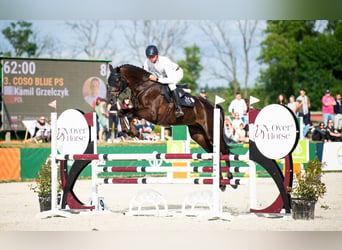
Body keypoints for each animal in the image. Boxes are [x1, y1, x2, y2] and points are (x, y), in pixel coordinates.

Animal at [107, 63, 235, 190]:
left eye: (117, 80)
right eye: (109, 80)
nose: (111, 99)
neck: (143, 88)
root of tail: (213, 106)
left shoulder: (151, 114)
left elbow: (129, 114)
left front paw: (135, 133)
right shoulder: (139, 112)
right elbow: (122, 113)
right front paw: (130, 131)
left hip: (211, 132)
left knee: (224, 150)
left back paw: (231, 180)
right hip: (198, 135)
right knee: (213, 153)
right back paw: (221, 183)